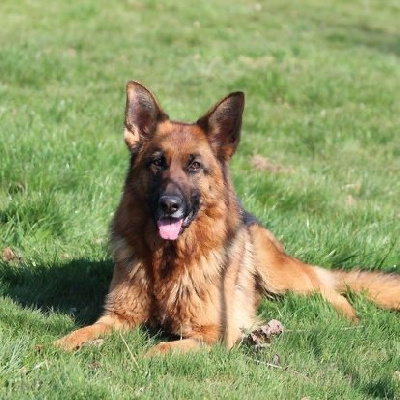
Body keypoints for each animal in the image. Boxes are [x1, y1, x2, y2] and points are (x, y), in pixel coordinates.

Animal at [57, 80, 400, 354]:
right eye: (157, 162)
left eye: (194, 165)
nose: (169, 205)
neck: (168, 259)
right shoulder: (117, 317)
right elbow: (81, 332)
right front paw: (56, 347)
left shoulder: (212, 335)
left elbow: (157, 350)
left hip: (282, 276)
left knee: (327, 287)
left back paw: (349, 317)